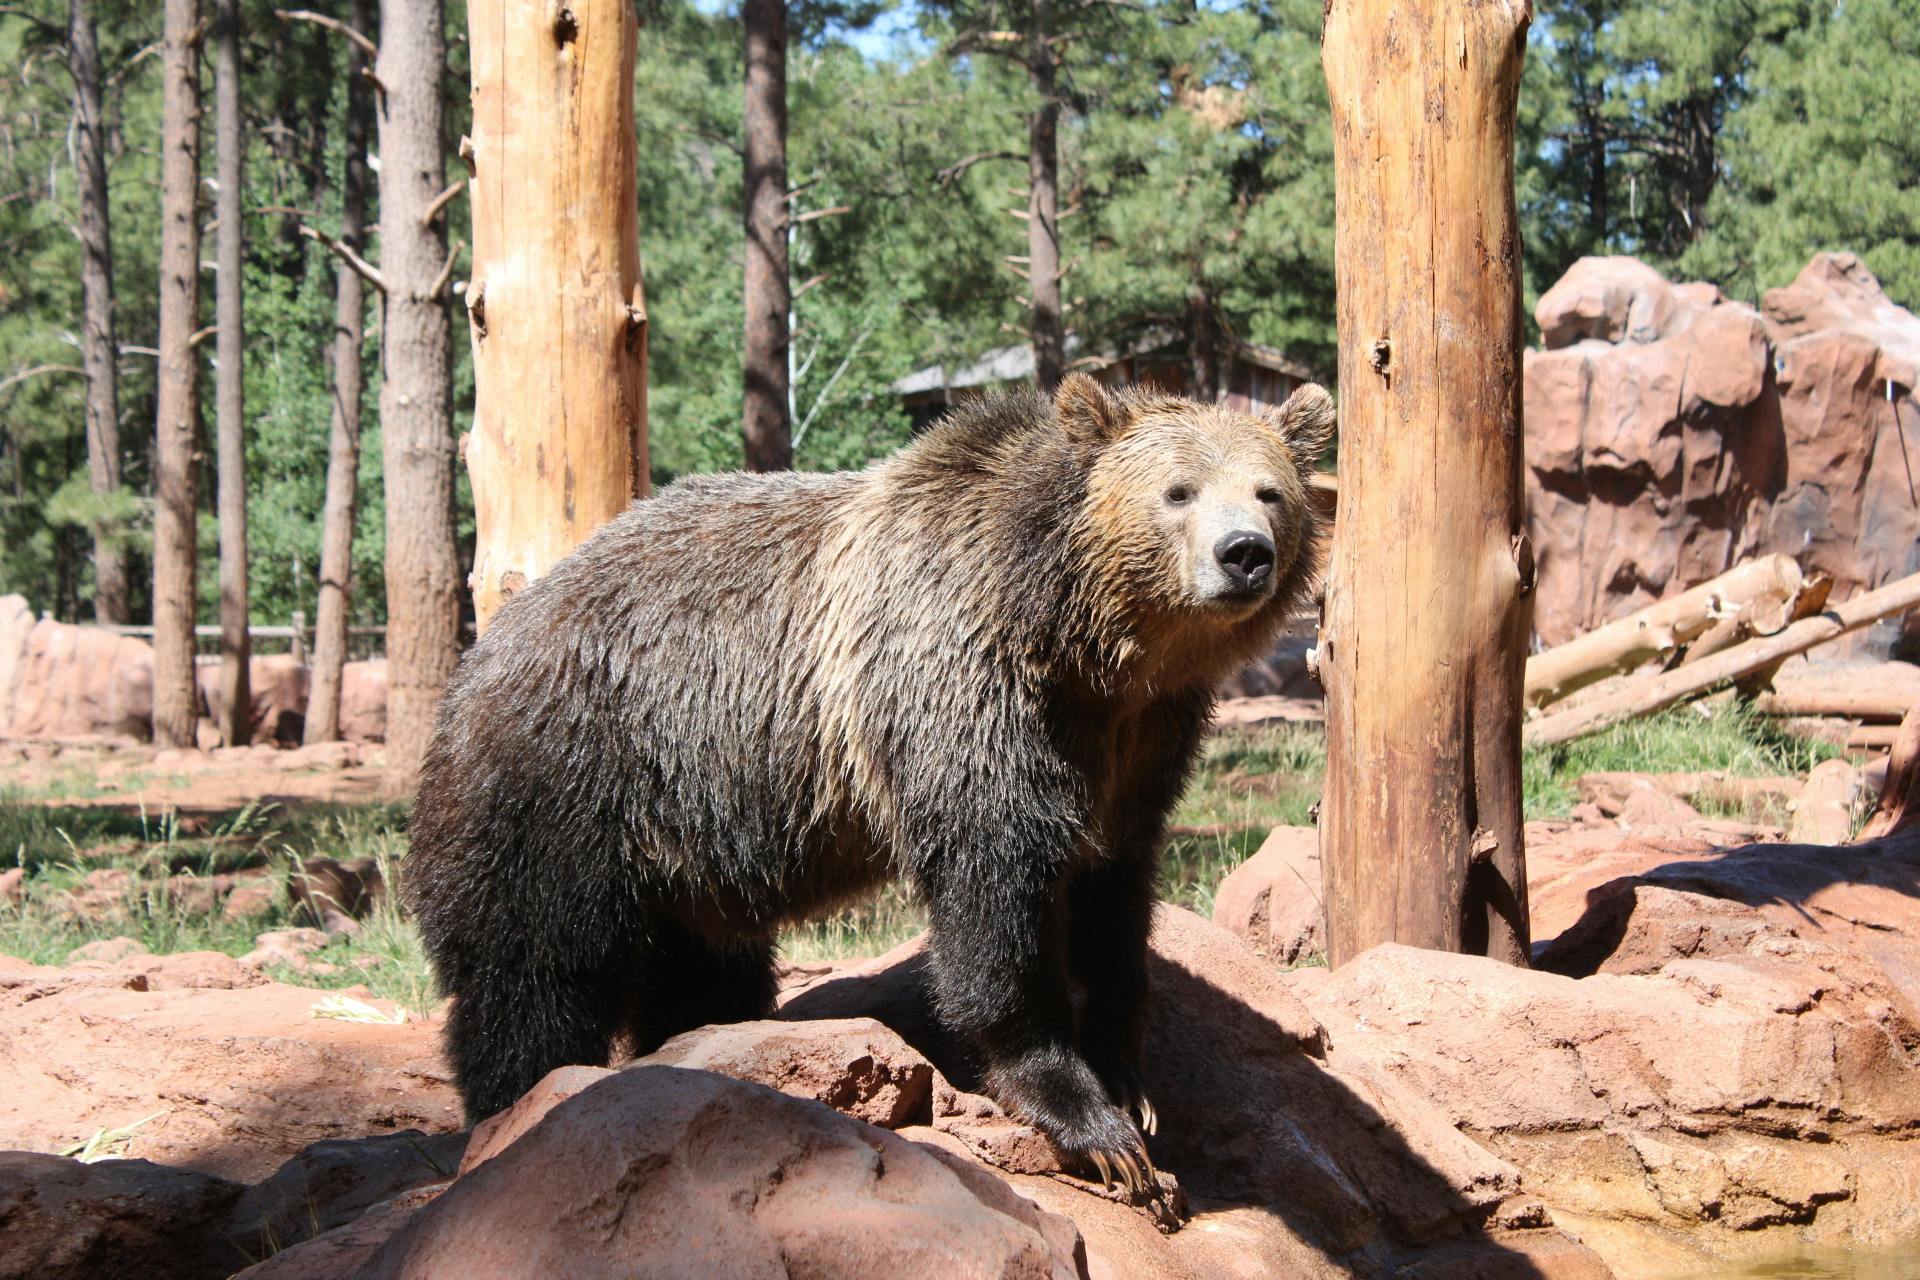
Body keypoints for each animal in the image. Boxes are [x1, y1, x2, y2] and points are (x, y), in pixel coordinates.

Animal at [404, 373, 1334, 1187]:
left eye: (1269, 492)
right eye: (1179, 490)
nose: (1243, 555)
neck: (1085, 642)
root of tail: (486, 646)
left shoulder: (1139, 748)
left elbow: (1114, 896)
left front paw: (1129, 1083)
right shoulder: (961, 688)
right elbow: (997, 898)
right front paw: (1086, 1120)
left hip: (689, 836)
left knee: (698, 966)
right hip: (568, 776)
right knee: (532, 973)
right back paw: (517, 1103)